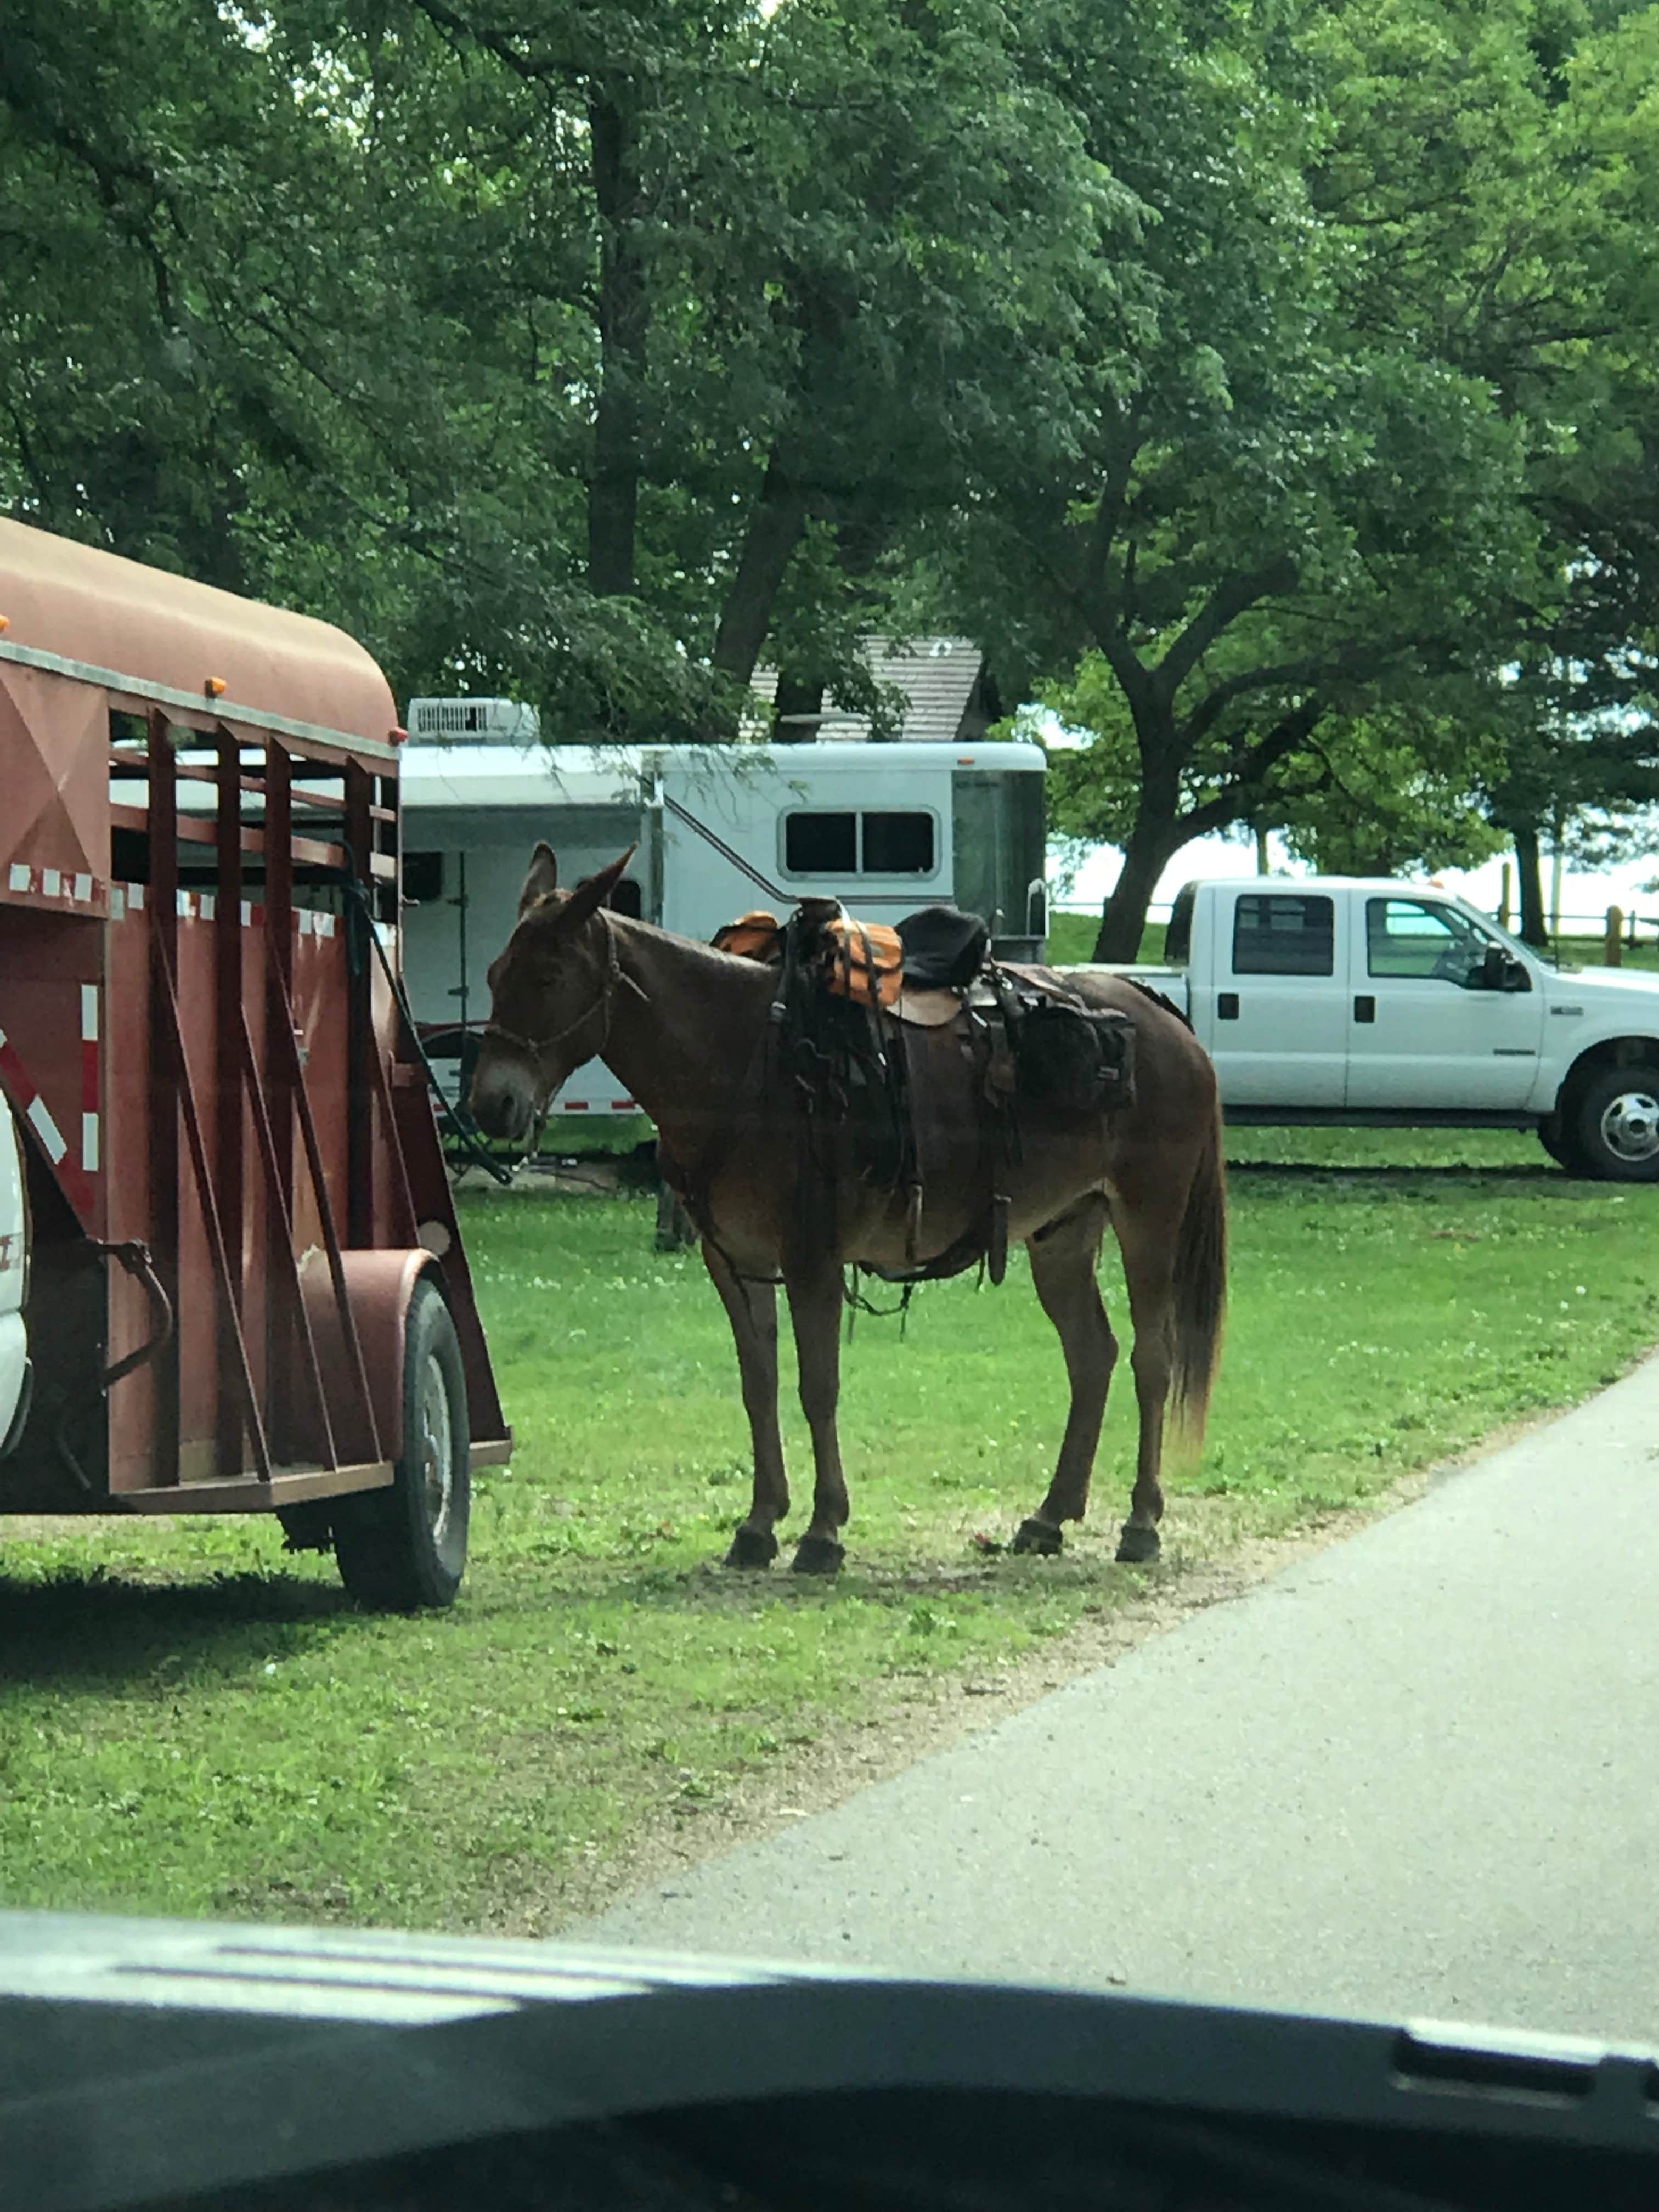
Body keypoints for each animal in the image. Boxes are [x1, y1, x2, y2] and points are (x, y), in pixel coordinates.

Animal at [468, 844, 1227, 1575]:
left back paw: (1142, 1522)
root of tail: (1167, 1019)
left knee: (1151, 1360)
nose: (491, 1104)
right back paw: (1049, 1517)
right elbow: (760, 1385)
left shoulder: (813, 1258)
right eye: (495, 974)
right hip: (1063, 1232)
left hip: (1148, 1220)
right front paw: (759, 1524)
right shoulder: (735, 1262)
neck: (746, 1060)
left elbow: (818, 1387)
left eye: (548, 977)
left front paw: (823, 1530)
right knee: (1092, 1355)